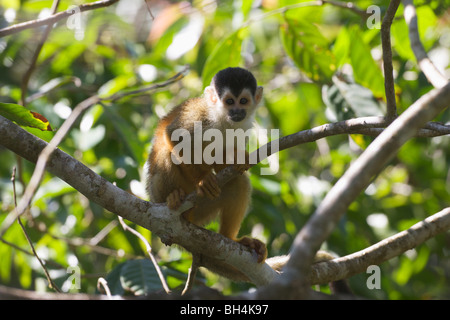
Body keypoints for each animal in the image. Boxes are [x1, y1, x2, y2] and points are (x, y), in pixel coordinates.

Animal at [147, 67, 268, 262]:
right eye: (229, 101)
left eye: (243, 101)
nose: (236, 111)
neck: (223, 118)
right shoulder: (200, 115)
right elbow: (174, 135)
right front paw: (203, 179)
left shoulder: (244, 125)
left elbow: (221, 164)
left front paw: (237, 159)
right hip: (157, 194)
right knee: (167, 151)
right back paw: (174, 198)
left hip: (202, 210)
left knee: (238, 182)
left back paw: (231, 238)